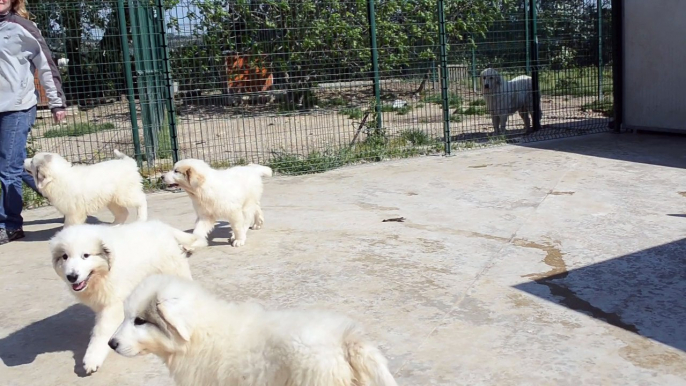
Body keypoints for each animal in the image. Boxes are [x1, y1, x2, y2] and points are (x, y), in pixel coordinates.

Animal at [48, 220, 198, 374]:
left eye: (86, 255)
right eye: (65, 256)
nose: (72, 277)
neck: (102, 274)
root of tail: (161, 225)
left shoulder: (113, 304)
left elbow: (101, 330)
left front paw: (92, 359)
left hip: (175, 269)